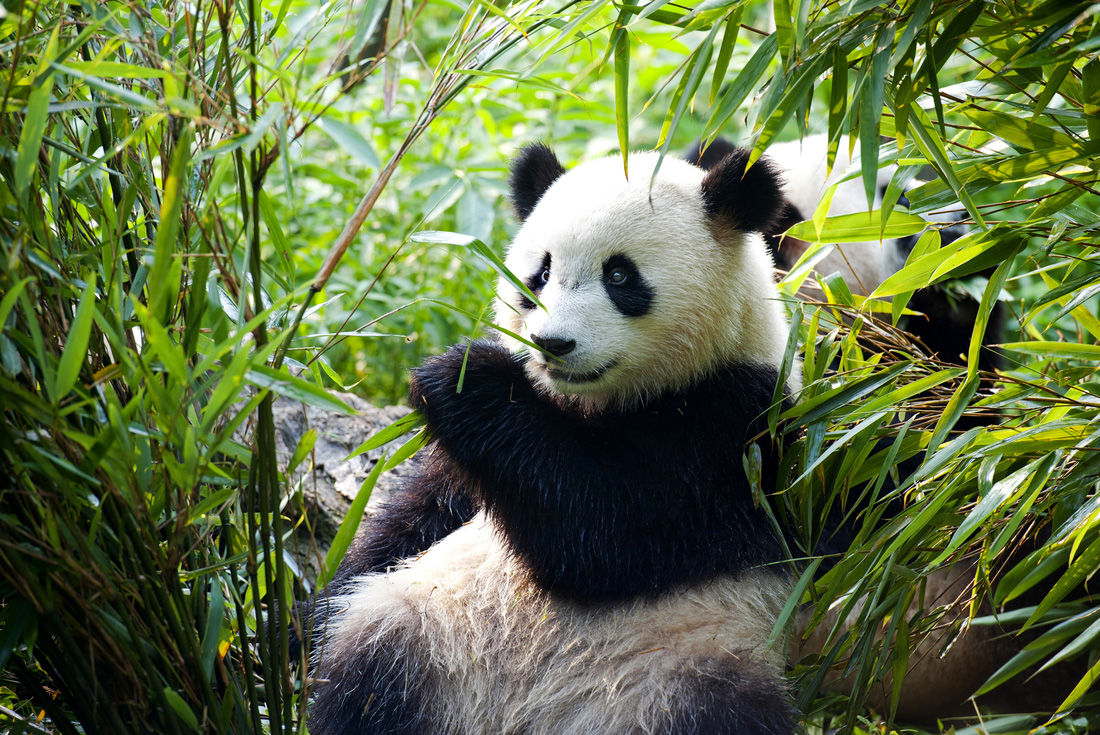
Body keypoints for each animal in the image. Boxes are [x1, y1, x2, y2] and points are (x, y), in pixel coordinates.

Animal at [305, 144, 803, 735]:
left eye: (620, 275)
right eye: (539, 274)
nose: (552, 343)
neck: (592, 401)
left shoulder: (737, 428)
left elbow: (606, 526)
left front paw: (466, 377)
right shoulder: (467, 476)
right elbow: (413, 521)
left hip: (681, 672)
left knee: (721, 711)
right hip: (412, 631)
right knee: (363, 685)